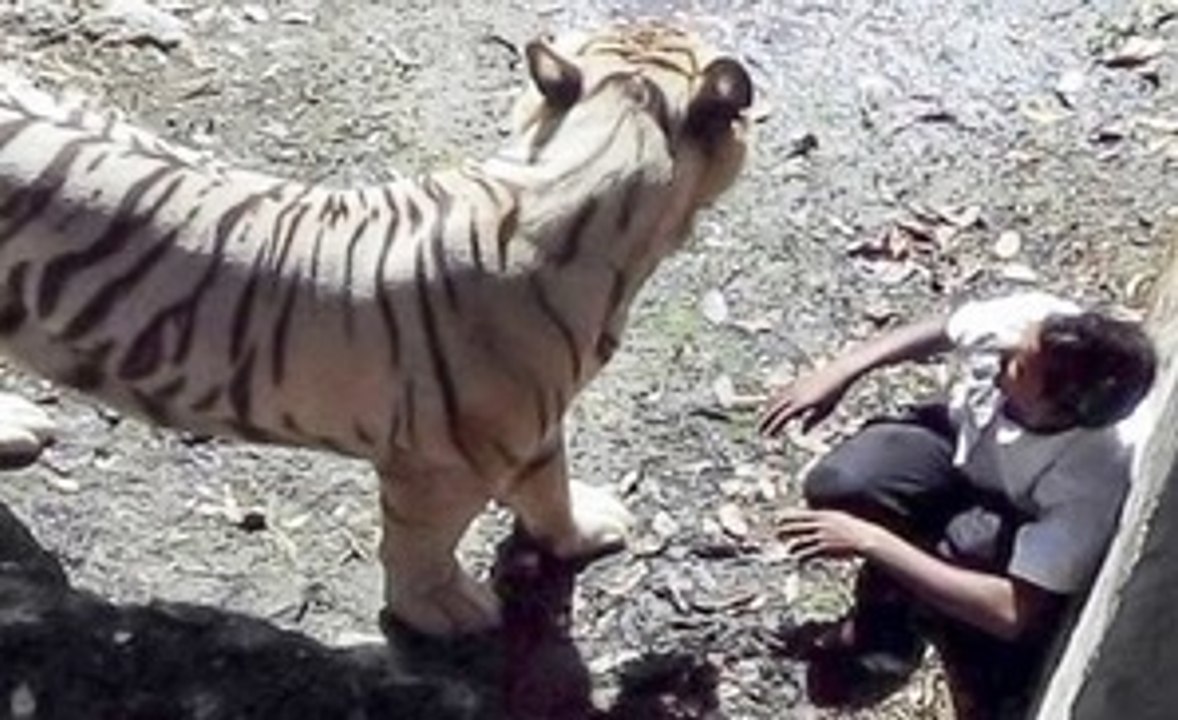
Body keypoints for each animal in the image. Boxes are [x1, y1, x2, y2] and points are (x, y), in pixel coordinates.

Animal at [0, 22, 754, 636]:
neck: (590, 155)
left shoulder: (531, 425)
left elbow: (549, 484)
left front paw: (582, 529)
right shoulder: (443, 463)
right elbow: (422, 542)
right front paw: (444, 610)